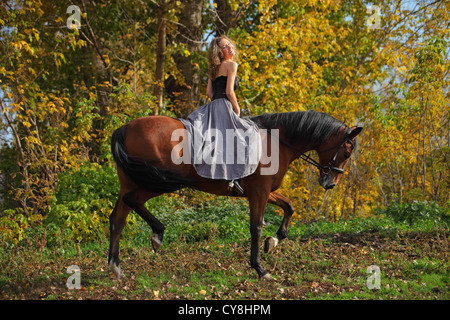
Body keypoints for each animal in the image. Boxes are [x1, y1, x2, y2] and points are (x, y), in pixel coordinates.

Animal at [108, 110, 362, 280]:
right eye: (347, 152)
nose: (330, 183)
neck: (276, 141)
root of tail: (126, 128)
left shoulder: (264, 191)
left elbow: (289, 207)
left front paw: (274, 241)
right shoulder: (259, 191)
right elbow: (256, 227)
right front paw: (259, 268)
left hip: (132, 182)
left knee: (118, 219)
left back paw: (116, 267)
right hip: (160, 181)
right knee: (133, 201)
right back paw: (156, 234)